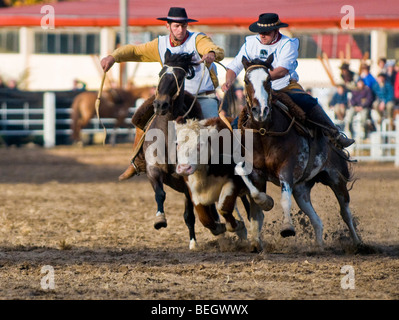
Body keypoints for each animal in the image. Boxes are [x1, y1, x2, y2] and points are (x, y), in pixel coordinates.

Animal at [239, 54, 368, 250]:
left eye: (268, 80)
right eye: (247, 80)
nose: (260, 111)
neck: (264, 133)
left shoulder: (287, 170)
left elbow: (284, 199)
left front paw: (287, 228)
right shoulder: (256, 172)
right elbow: (255, 200)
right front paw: (256, 238)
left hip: (336, 178)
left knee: (345, 212)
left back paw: (358, 244)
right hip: (302, 190)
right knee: (317, 220)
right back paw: (319, 247)